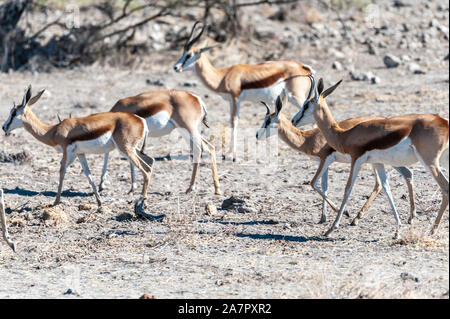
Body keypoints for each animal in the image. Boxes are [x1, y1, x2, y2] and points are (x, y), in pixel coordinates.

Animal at [2, 86, 155, 219]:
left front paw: (55, 202)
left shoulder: (67, 152)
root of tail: (141, 120)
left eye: (13, 113)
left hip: (126, 150)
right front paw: (99, 203)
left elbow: (62, 172)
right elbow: (89, 175)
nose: (4, 127)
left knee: (146, 169)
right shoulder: (80, 154)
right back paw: (145, 203)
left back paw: (140, 202)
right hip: (133, 149)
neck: (53, 131)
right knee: (151, 161)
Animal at [174, 21, 314, 162]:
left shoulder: (236, 98)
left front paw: (232, 155)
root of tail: (303, 67)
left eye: (188, 55)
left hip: (296, 97)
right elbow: (232, 121)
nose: (176, 67)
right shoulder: (231, 101)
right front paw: (228, 153)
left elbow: (234, 121)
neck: (223, 76)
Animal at [255, 94, 416, 225]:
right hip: (384, 160)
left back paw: (356, 219)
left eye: (268, 121)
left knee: (379, 184)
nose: (257, 134)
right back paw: (409, 217)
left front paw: (343, 212)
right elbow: (324, 185)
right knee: (406, 174)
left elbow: (313, 183)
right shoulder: (323, 163)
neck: (308, 138)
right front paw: (323, 218)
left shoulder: (325, 159)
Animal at [294, 77, 448, 238]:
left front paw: (331, 228)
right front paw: (397, 230)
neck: (345, 135)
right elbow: (387, 189)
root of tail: (444, 121)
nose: (294, 120)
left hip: (430, 163)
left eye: (306, 105)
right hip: (442, 160)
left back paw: (432, 230)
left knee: (445, 188)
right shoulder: (378, 163)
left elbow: (348, 189)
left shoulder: (356, 160)